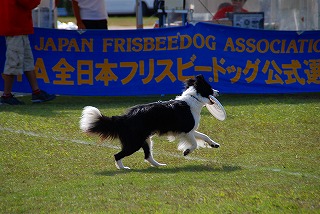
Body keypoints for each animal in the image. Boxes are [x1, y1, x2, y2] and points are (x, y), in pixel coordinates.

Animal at [79, 74, 220, 170]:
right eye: (210, 88)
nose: (218, 92)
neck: (193, 99)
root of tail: (124, 118)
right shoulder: (185, 130)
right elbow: (195, 143)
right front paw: (187, 151)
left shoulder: (190, 130)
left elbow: (204, 136)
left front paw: (214, 144)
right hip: (134, 143)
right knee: (117, 155)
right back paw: (123, 168)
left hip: (145, 140)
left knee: (147, 156)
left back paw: (159, 165)